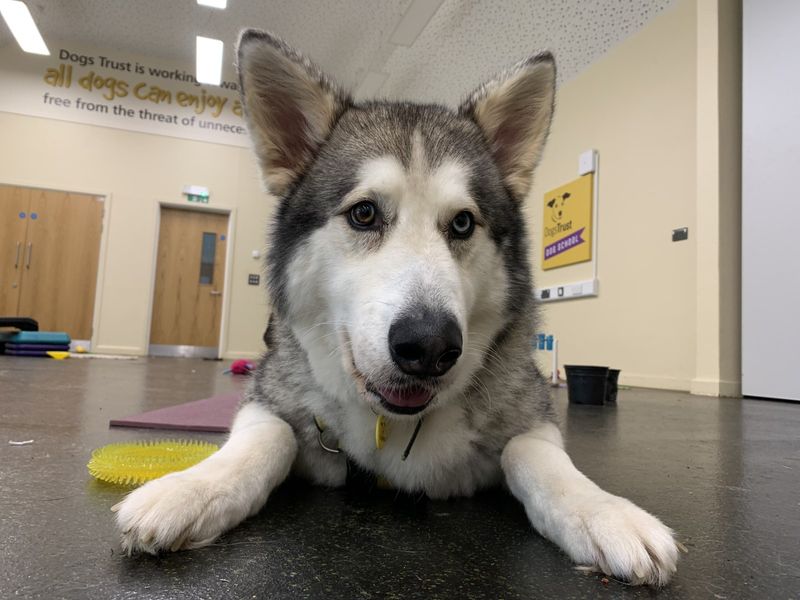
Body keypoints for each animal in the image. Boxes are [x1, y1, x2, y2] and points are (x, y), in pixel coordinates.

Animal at [115, 29, 680, 584]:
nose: (429, 346)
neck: (393, 428)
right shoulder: (269, 396)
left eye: (462, 223)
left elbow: (529, 452)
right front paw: (191, 489)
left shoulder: (530, 412)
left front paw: (603, 511)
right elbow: (270, 436)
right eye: (364, 214)